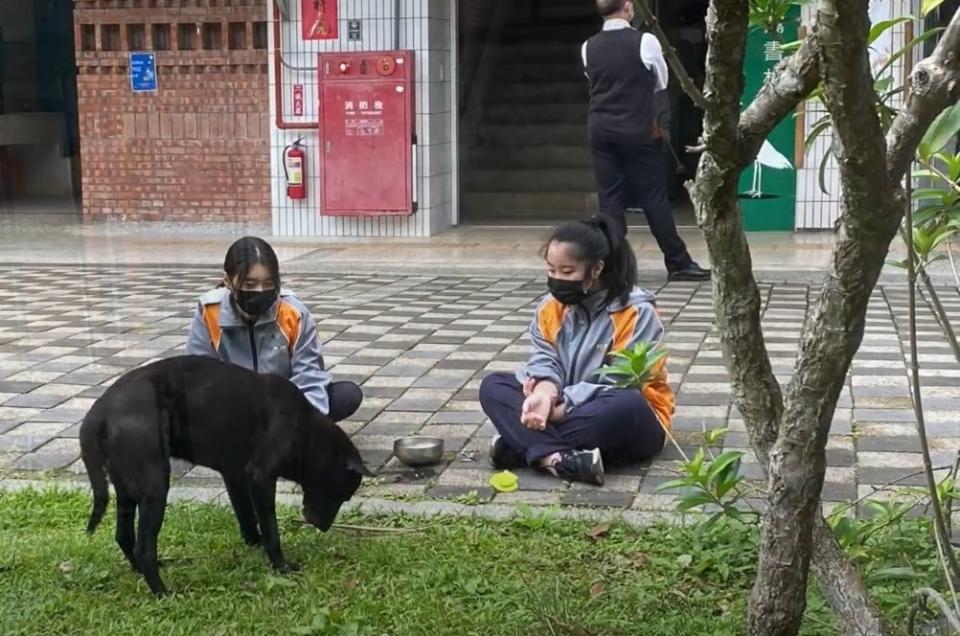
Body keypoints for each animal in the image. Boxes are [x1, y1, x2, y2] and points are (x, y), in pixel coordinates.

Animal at [79, 356, 368, 592]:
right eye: (343, 494)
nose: (323, 527)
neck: (304, 430)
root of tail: (98, 412)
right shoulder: (260, 479)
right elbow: (271, 528)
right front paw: (280, 565)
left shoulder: (237, 475)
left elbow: (248, 517)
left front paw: (254, 544)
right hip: (154, 488)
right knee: (143, 548)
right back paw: (163, 592)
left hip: (126, 490)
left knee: (124, 536)